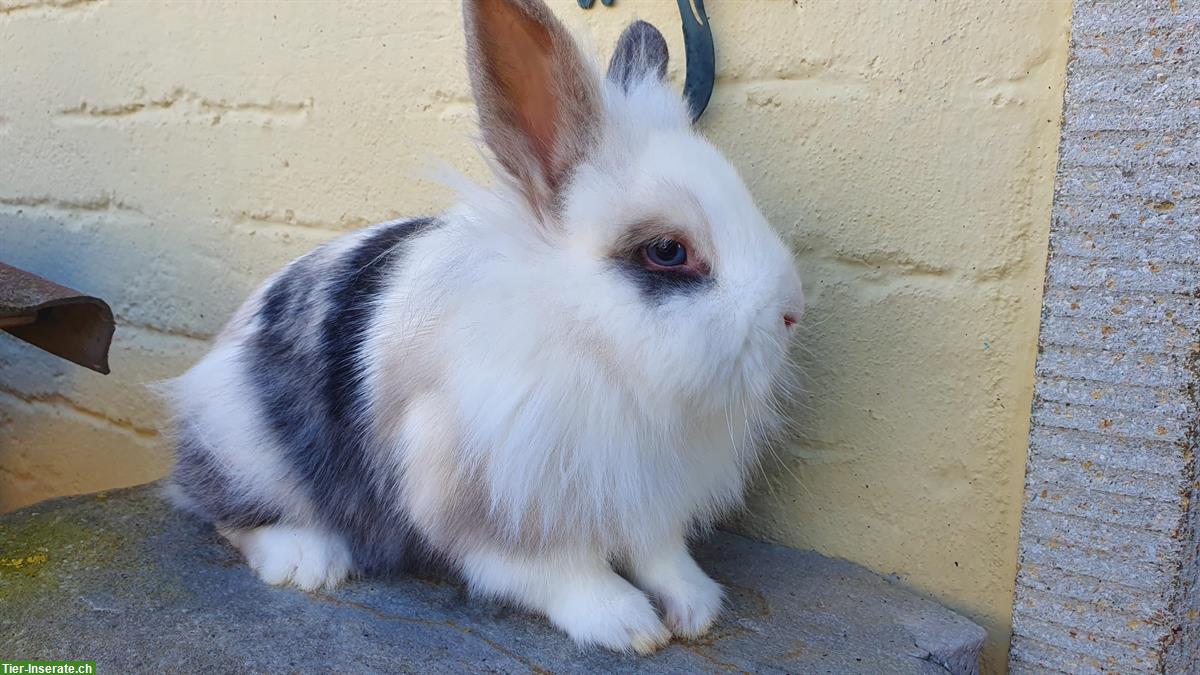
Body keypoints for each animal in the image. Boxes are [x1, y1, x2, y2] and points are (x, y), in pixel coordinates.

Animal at [166, 0, 806, 653]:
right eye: (667, 252)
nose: (791, 314)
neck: (593, 346)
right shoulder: (489, 507)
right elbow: (563, 573)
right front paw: (628, 625)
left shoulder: (647, 500)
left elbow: (662, 556)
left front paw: (696, 608)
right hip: (243, 447)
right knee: (226, 514)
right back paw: (307, 561)